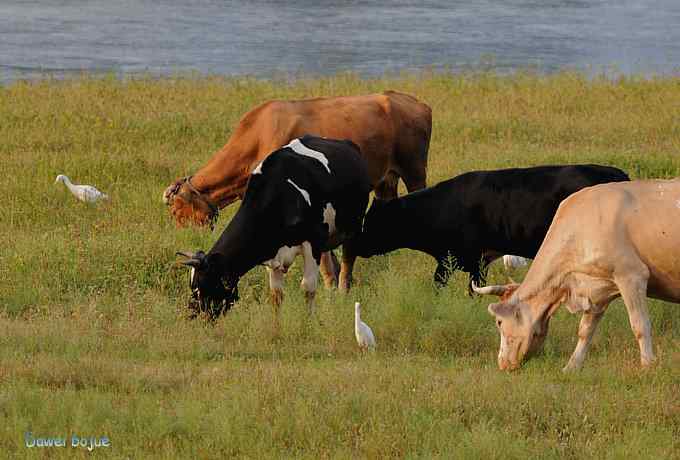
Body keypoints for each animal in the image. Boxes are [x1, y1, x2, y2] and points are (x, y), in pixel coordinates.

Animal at [173, 135, 370, 318]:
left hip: (353, 227)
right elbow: (276, 295)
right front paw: (276, 327)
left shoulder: (313, 242)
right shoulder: (272, 252)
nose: (194, 314)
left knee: (347, 264)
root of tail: (346, 143)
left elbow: (308, 288)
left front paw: (308, 323)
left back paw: (343, 294)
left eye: (202, 286)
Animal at [478, 178, 680, 372]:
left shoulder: (632, 275)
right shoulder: (597, 289)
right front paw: (571, 367)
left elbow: (640, 325)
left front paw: (647, 364)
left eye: (499, 322)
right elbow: (585, 331)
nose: (502, 364)